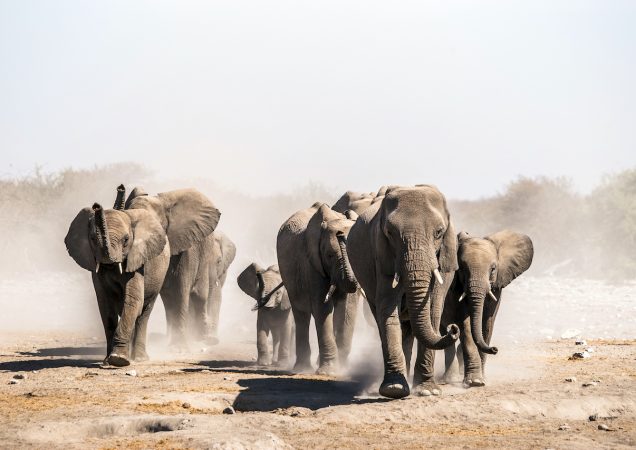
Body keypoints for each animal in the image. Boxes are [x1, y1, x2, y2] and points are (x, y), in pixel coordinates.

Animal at [64, 202, 171, 368]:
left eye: (126, 239)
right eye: (93, 238)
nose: (96, 206)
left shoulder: (137, 262)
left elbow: (133, 300)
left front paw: (118, 360)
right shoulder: (96, 270)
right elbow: (106, 306)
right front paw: (108, 361)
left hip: (159, 277)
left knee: (143, 314)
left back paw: (139, 359)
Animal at [121, 185, 221, 350]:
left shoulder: (187, 247)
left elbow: (180, 290)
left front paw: (179, 349)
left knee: (199, 295)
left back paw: (202, 338)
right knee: (168, 300)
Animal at [276, 202, 360, 374]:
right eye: (329, 255)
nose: (341, 234)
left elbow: (347, 308)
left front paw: (343, 369)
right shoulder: (312, 263)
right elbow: (322, 308)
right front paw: (329, 372)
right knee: (302, 314)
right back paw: (302, 369)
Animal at [346, 185, 460, 400]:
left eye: (439, 232)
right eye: (390, 233)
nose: (453, 328)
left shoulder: (444, 259)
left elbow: (433, 310)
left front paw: (427, 390)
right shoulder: (382, 255)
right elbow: (388, 309)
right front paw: (394, 390)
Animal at [440, 230, 536, 388]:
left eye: (493, 269)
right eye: (462, 269)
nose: (495, 349)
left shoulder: (497, 285)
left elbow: (487, 322)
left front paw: (482, 379)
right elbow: (465, 324)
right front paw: (475, 381)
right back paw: (448, 379)